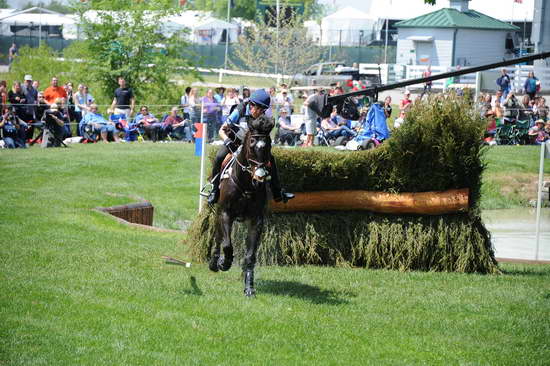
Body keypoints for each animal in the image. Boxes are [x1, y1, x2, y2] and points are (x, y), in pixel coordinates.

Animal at [207, 116, 276, 296]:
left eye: (268, 145)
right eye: (251, 145)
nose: (259, 179)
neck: (246, 186)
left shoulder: (256, 220)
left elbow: (250, 255)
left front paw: (249, 286)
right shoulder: (225, 214)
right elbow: (227, 245)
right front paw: (224, 263)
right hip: (219, 213)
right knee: (218, 237)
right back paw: (215, 262)